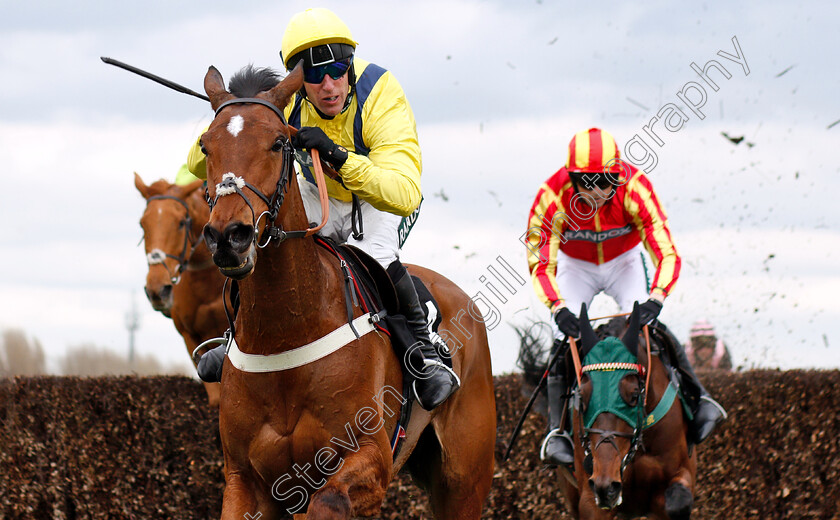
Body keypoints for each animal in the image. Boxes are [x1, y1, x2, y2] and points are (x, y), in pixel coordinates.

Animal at [135, 175, 226, 406]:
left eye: (181, 222)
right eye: (142, 224)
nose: (157, 289)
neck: (206, 284)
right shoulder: (190, 338)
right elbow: (216, 399)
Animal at [195, 65, 498, 520]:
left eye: (279, 141)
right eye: (205, 145)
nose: (229, 236)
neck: (285, 332)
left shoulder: (371, 458)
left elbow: (329, 500)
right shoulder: (245, 480)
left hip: (463, 481)